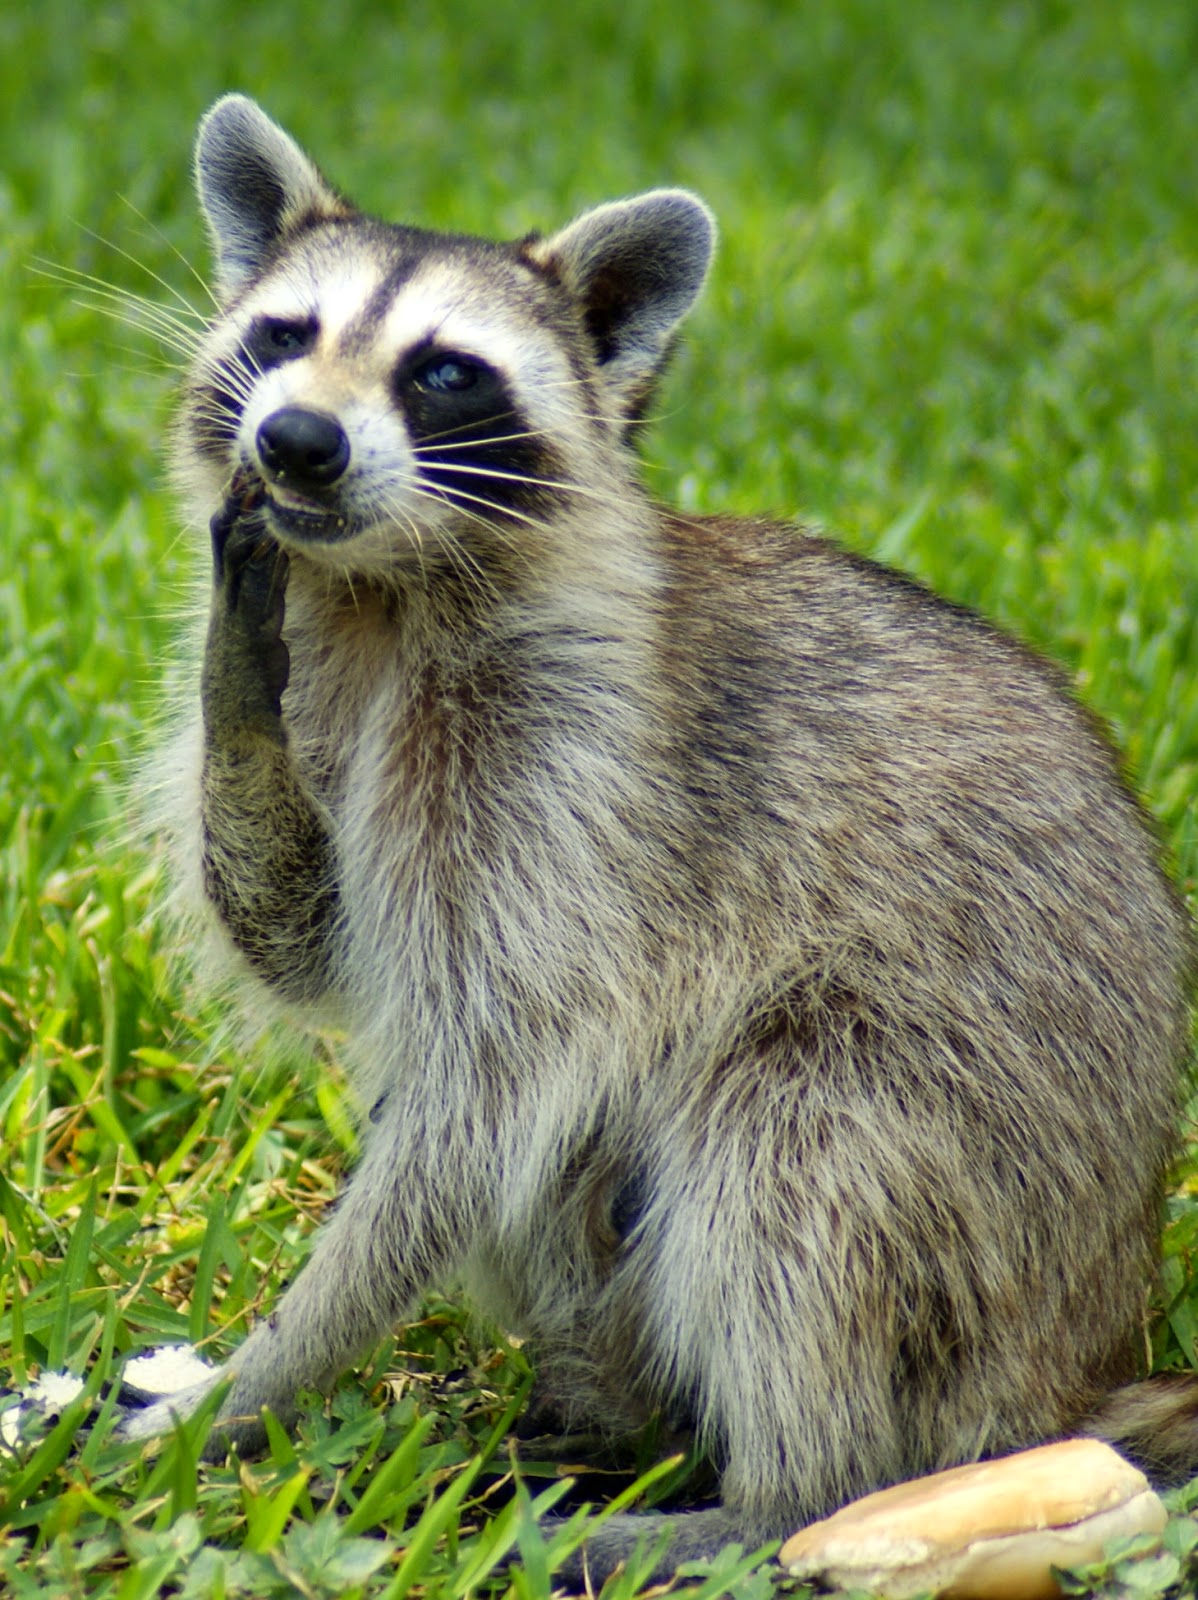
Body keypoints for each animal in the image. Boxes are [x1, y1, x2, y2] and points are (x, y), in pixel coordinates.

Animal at [132, 93, 1197, 1580]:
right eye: (285, 335)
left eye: (443, 374)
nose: (294, 441)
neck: (382, 589)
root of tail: (1088, 1348)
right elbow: (315, 946)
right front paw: (238, 692)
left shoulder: (572, 773)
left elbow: (480, 1099)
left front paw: (258, 1378)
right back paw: (601, 1417)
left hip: (971, 1184)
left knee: (789, 1137)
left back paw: (783, 1492)